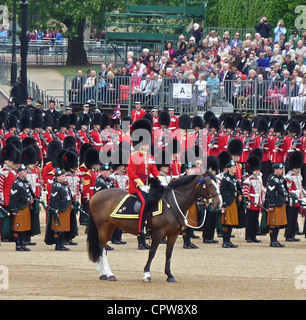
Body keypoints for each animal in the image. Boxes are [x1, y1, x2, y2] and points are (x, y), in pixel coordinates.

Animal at [87, 172, 221, 282]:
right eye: (209, 184)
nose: (219, 203)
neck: (172, 204)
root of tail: (95, 196)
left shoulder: (173, 234)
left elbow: (169, 253)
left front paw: (170, 275)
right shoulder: (158, 233)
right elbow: (152, 252)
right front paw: (147, 274)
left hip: (111, 226)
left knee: (102, 248)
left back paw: (103, 273)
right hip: (103, 226)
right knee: (102, 248)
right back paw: (109, 274)